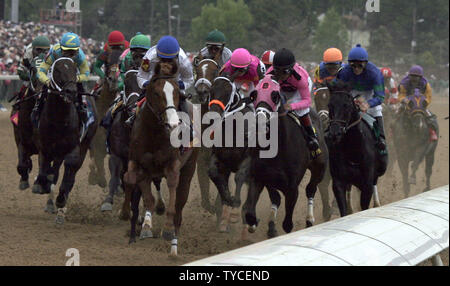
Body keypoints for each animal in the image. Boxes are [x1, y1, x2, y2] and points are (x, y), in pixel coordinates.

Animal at [31, 57, 98, 223]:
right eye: (57, 70)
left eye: (75, 70)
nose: (71, 91)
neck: (59, 119)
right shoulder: (44, 148)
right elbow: (44, 172)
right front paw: (41, 185)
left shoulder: (73, 148)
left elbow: (68, 173)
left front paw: (61, 200)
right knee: (53, 171)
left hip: (84, 145)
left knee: (71, 175)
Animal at [122, 61, 198, 256]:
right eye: (156, 93)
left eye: (177, 92)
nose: (172, 123)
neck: (155, 133)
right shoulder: (139, 162)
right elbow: (130, 179)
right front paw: (127, 213)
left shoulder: (173, 164)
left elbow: (172, 185)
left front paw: (168, 228)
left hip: (189, 167)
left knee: (180, 203)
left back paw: (174, 242)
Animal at [243, 76, 326, 239]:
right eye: (254, 95)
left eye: (274, 96)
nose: (260, 121)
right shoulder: (259, 177)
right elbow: (251, 214)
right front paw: (254, 224)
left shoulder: (292, 188)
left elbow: (287, 225)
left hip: (319, 168)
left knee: (311, 189)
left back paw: (309, 219)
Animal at [324, 81, 386, 216]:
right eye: (330, 105)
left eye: (346, 105)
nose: (335, 133)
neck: (353, 151)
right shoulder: (338, 182)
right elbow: (343, 210)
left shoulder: (366, 184)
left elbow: (364, 205)